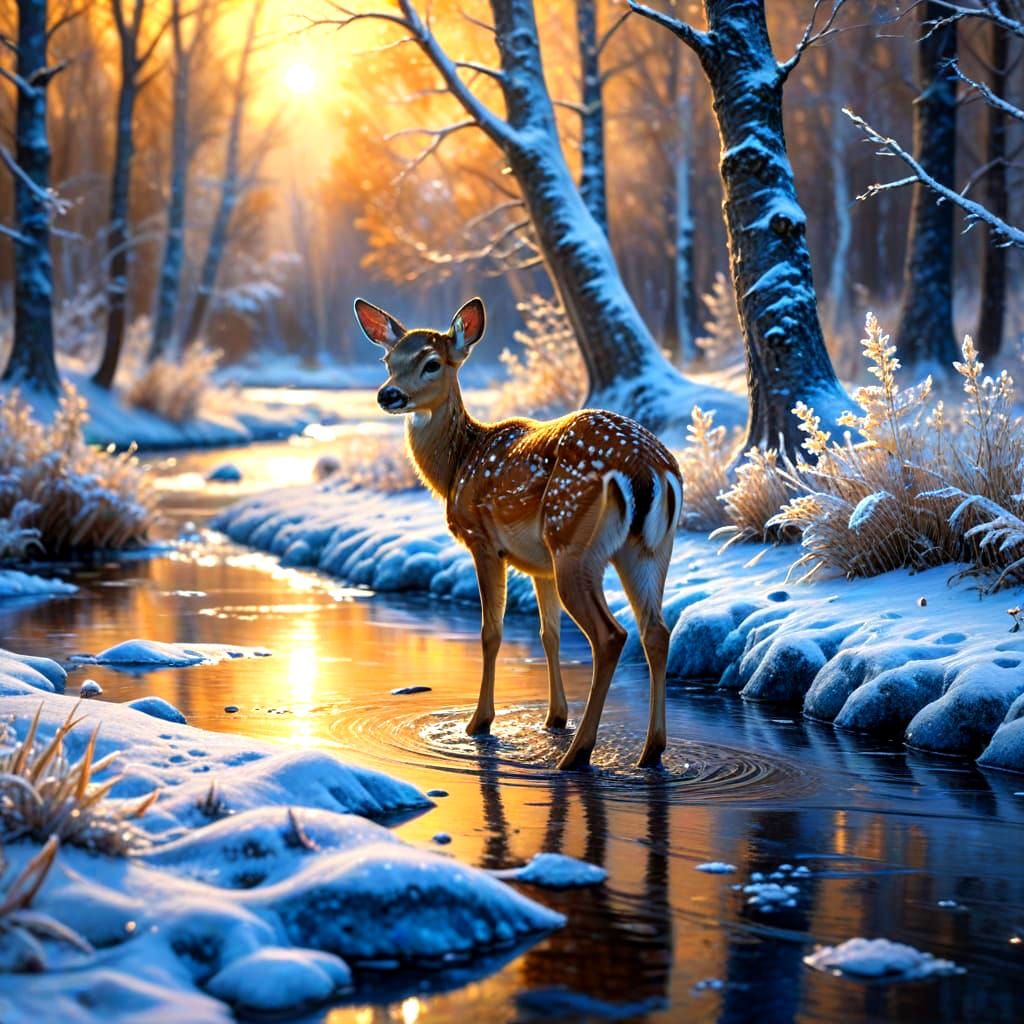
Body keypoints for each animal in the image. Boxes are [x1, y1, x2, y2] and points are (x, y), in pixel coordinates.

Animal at [354, 296, 683, 770]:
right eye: (388, 360)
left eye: (432, 363)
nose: (388, 394)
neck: (457, 466)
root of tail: (646, 467)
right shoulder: (539, 566)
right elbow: (549, 634)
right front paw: (554, 718)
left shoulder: (483, 541)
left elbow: (491, 632)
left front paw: (479, 723)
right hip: (648, 550)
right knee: (655, 631)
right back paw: (650, 752)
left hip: (573, 541)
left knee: (611, 636)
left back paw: (578, 755)